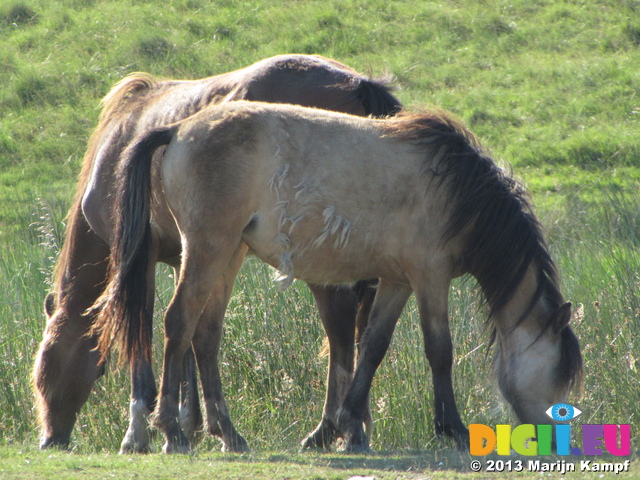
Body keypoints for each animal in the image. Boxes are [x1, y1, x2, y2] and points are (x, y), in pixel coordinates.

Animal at [32, 54, 400, 452]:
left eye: (45, 371)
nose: (50, 439)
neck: (120, 141)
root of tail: (358, 85)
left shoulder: (141, 258)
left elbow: (145, 336)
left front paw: (141, 432)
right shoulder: (186, 256)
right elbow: (192, 338)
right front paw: (191, 422)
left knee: (340, 327)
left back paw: (329, 429)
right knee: (362, 331)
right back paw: (354, 425)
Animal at [95, 101, 584, 454]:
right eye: (560, 375)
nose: (555, 440)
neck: (459, 190)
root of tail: (177, 129)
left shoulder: (398, 282)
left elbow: (371, 348)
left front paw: (345, 426)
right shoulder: (430, 277)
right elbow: (439, 351)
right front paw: (453, 429)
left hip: (228, 254)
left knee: (206, 334)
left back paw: (227, 433)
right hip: (207, 249)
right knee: (178, 324)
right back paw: (173, 432)